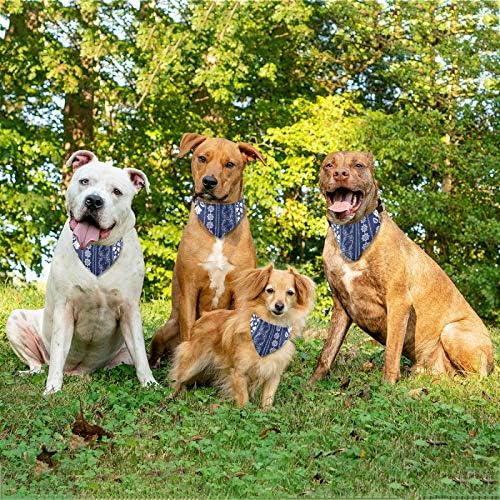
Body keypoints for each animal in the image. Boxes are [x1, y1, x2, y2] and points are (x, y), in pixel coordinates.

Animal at [6, 148, 156, 394]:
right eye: (84, 181)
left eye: (117, 191)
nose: (94, 201)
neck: (96, 252)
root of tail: (80, 372)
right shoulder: (64, 309)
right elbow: (58, 351)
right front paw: (52, 388)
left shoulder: (129, 310)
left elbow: (141, 355)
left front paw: (151, 384)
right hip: (16, 320)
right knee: (38, 363)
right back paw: (30, 373)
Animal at [148, 133, 266, 368]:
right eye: (202, 158)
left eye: (230, 164)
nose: (209, 182)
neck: (218, 221)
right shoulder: (189, 290)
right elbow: (188, 332)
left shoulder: (241, 293)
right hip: (167, 327)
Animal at [170, 264, 314, 408]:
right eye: (270, 290)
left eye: (290, 293)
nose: (279, 306)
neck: (271, 328)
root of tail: (205, 315)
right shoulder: (239, 372)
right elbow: (244, 400)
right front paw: (244, 410)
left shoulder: (273, 374)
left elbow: (267, 400)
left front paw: (265, 411)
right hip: (192, 364)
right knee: (176, 376)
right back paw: (172, 395)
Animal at [310, 148, 494, 382]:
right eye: (329, 165)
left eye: (358, 165)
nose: (340, 173)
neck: (352, 233)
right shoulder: (341, 305)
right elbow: (327, 352)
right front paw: (311, 383)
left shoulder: (399, 302)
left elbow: (391, 351)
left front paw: (387, 384)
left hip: (452, 330)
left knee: (477, 377)